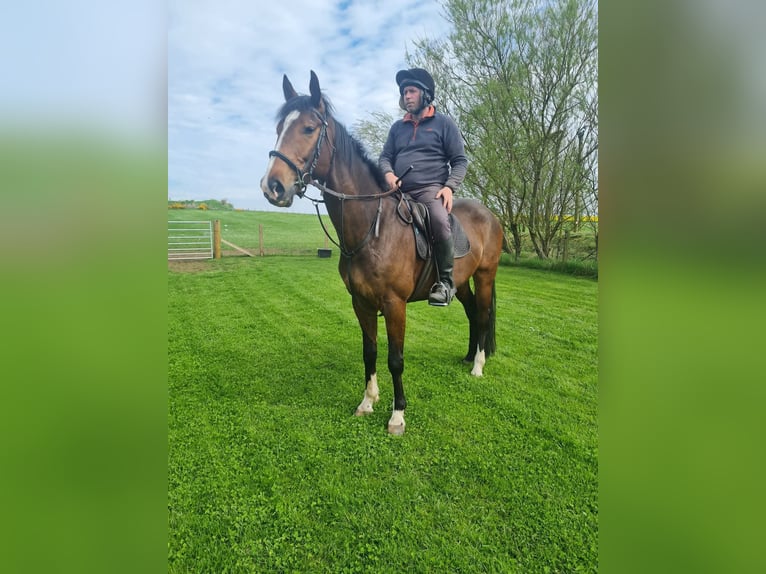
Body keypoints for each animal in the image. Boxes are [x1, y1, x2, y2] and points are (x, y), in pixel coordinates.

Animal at [260, 71, 504, 435]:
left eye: (308, 128)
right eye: (279, 128)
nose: (272, 186)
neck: (373, 228)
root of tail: (490, 214)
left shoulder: (394, 304)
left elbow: (395, 359)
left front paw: (397, 415)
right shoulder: (361, 302)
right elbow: (370, 352)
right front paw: (367, 402)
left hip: (485, 276)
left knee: (485, 314)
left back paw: (477, 365)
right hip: (460, 283)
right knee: (473, 312)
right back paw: (467, 356)